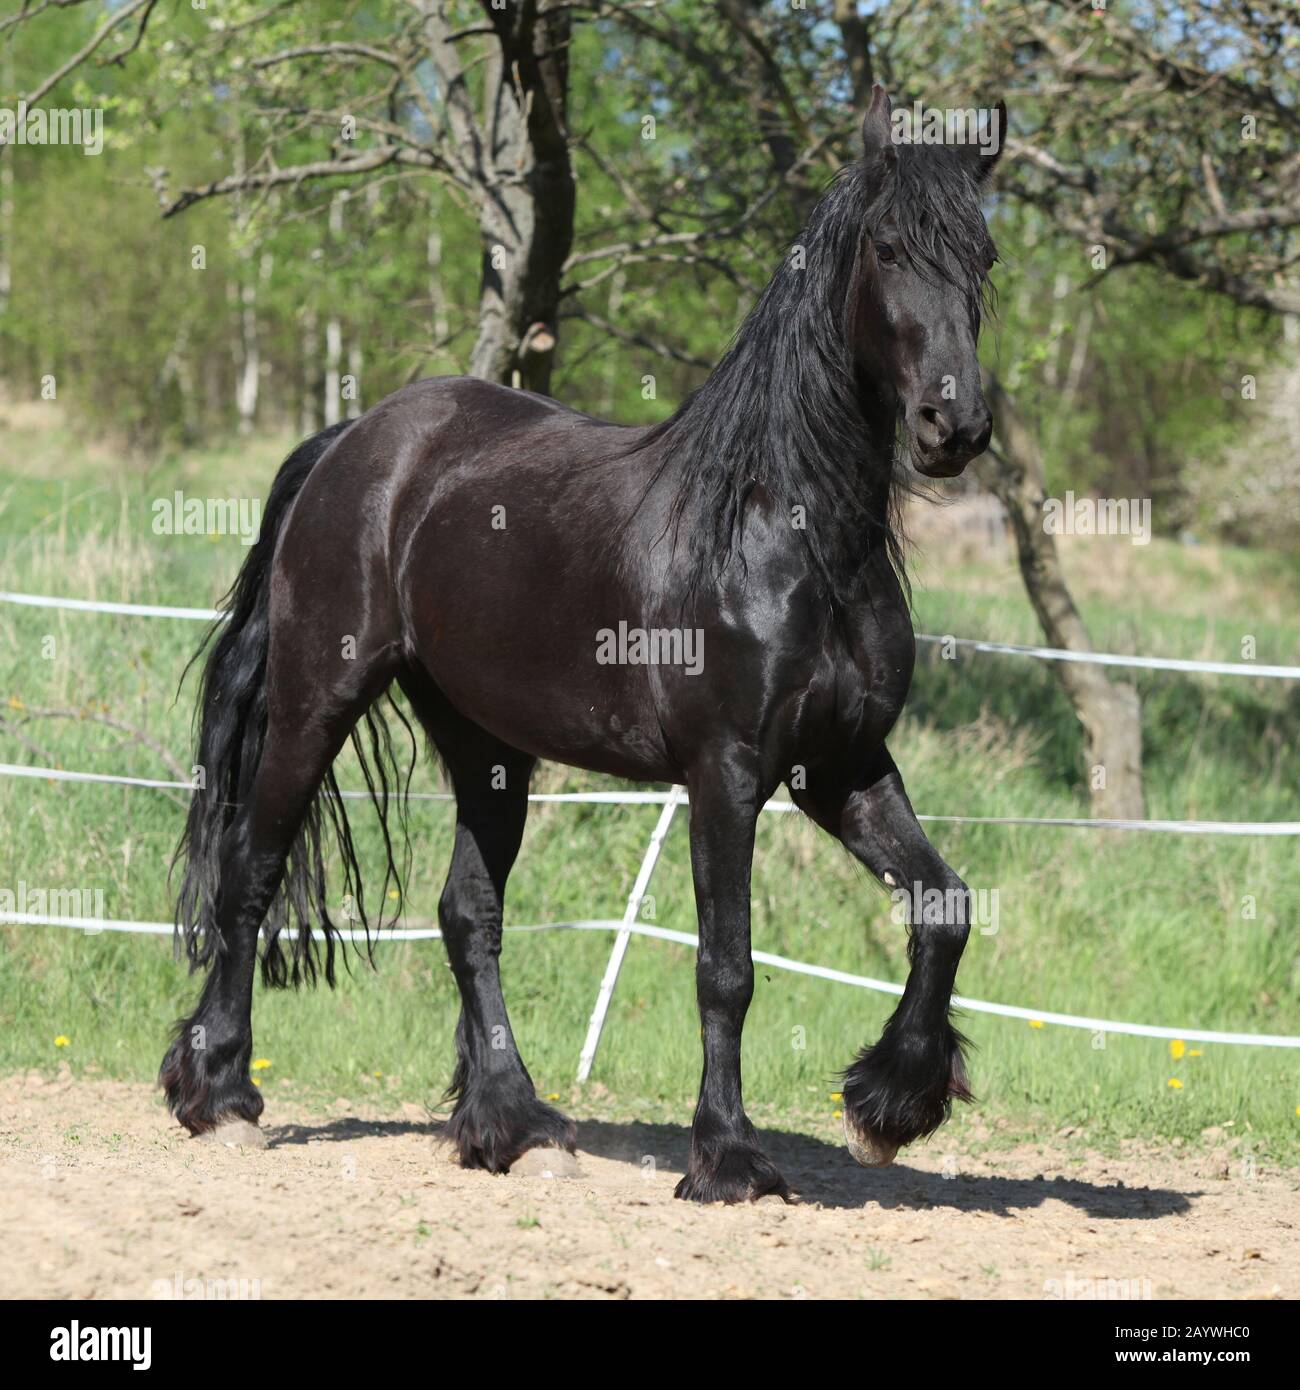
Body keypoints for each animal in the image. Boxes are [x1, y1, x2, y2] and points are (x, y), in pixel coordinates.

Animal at [161, 88, 1006, 1204]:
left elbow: (943, 905)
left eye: (984, 256)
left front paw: (889, 1103)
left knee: (466, 914)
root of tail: (358, 440)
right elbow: (726, 968)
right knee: (251, 871)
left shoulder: (843, 767)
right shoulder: (728, 774)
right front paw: (729, 1157)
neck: (785, 530)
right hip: (316, 699)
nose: (955, 423)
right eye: (891, 245)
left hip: (487, 745)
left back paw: (511, 1123)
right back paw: (220, 1094)